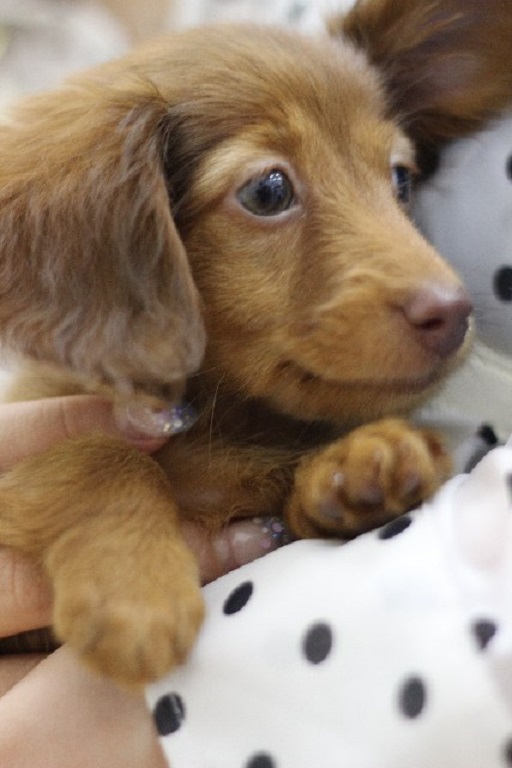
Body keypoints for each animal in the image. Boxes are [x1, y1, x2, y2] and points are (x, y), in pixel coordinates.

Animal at [0, 0, 510, 688]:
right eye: (268, 190)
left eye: (400, 180)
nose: (454, 313)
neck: (225, 419)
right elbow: (93, 450)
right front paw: (133, 586)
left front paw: (361, 461)